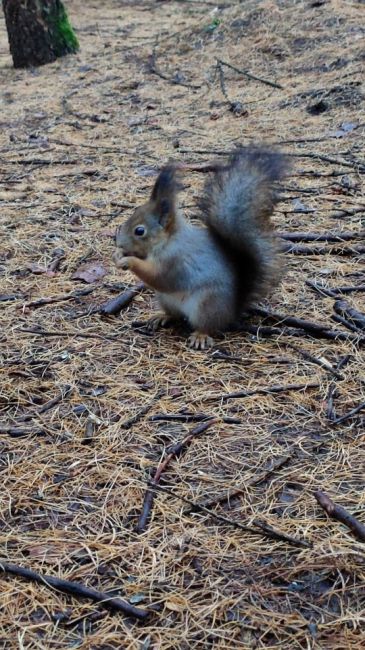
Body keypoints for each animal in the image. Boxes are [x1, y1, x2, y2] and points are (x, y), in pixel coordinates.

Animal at [114, 147, 288, 350]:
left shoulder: (175, 261)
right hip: (166, 299)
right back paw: (162, 316)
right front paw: (118, 254)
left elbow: (157, 276)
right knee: (175, 314)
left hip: (206, 305)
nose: (119, 243)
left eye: (140, 231)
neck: (168, 241)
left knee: (208, 325)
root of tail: (232, 311)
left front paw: (128, 261)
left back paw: (200, 335)